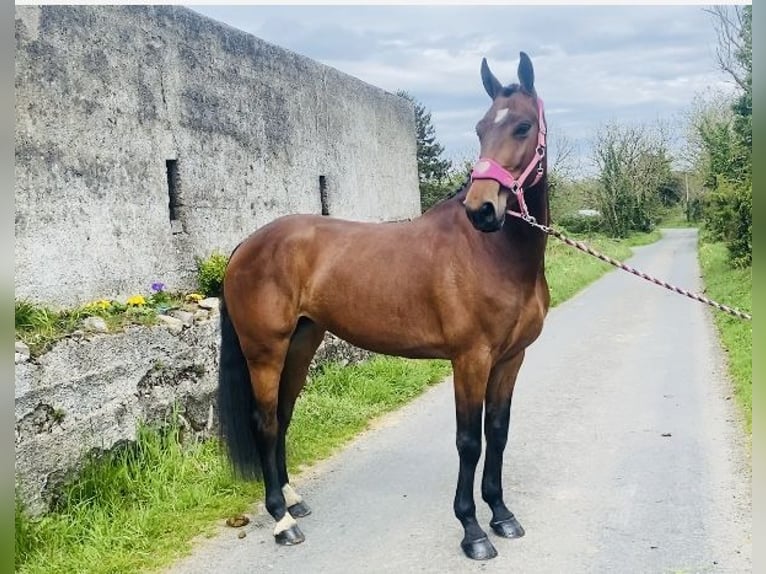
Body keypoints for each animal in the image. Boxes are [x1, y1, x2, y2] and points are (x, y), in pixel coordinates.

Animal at [219, 51, 548, 560]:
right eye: (479, 129)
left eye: (523, 126)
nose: (482, 210)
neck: (496, 255)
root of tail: (246, 245)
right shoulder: (470, 359)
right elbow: (468, 442)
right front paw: (472, 530)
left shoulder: (511, 359)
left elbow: (497, 432)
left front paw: (502, 515)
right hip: (264, 351)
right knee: (265, 422)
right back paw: (280, 519)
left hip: (301, 343)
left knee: (283, 417)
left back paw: (292, 500)